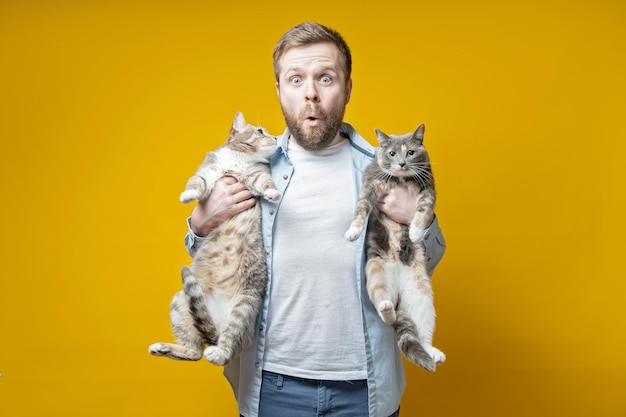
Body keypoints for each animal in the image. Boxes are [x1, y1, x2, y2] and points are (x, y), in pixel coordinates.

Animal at [346, 123, 444, 370]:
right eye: (391, 153)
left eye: (410, 152)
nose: (401, 163)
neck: (401, 180)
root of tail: (398, 296)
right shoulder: (371, 185)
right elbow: (361, 208)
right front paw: (353, 231)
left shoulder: (428, 189)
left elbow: (422, 209)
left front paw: (416, 231)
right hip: (376, 272)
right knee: (386, 312)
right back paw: (386, 308)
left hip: (423, 298)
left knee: (422, 334)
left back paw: (434, 353)